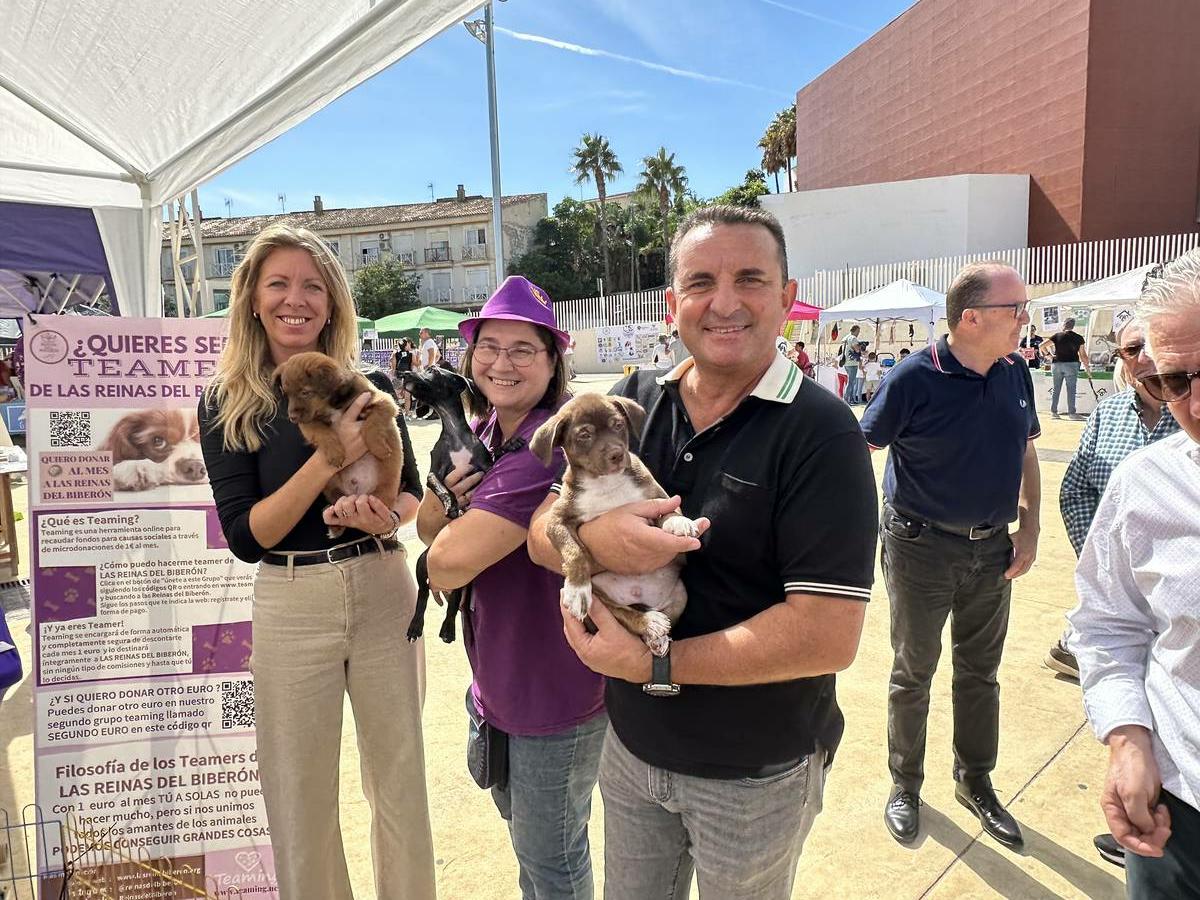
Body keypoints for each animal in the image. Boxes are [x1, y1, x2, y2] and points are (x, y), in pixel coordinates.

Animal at [272, 350, 403, 535]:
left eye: (305, 392)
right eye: (287, 394)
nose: (292, 417)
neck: (331, 404)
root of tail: (357, 493)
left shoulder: (382, 400)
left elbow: (372, 424)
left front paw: (379, 448)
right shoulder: (308, 423)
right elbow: (323, 433)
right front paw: (335, 453)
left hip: (383, 493)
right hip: (330, 485)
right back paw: (335, 522)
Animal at [530, 393, 700, 657]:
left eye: (618, 425)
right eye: (584, 435)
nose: (617, 454)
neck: (605, 483)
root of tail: (639, 597)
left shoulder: (657, 495)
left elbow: (668, 509)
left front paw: (679, 522)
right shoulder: (556, 520)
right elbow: (574, 550)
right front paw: (577, 589)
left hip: (681, 595)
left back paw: (656, 636)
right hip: (600, 600)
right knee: (623, 613)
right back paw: (648, 623)